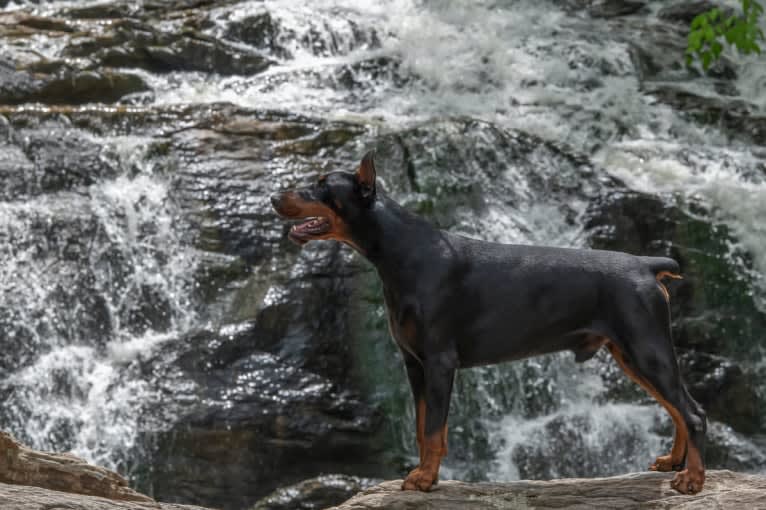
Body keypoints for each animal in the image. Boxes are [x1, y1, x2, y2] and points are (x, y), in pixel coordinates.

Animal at [272, 151, 712, 494]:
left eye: (321, 186)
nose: (275, 197)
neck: (403, 251)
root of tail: (645, 265)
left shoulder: (439, 361)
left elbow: (433, 428)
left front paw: (425, 479)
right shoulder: (414, 363)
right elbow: (421, 425)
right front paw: (423, 473)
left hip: (646, 347)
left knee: (692, 413)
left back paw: (692, 480)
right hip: (630, 353)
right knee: (678, 409)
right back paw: (673, 462)